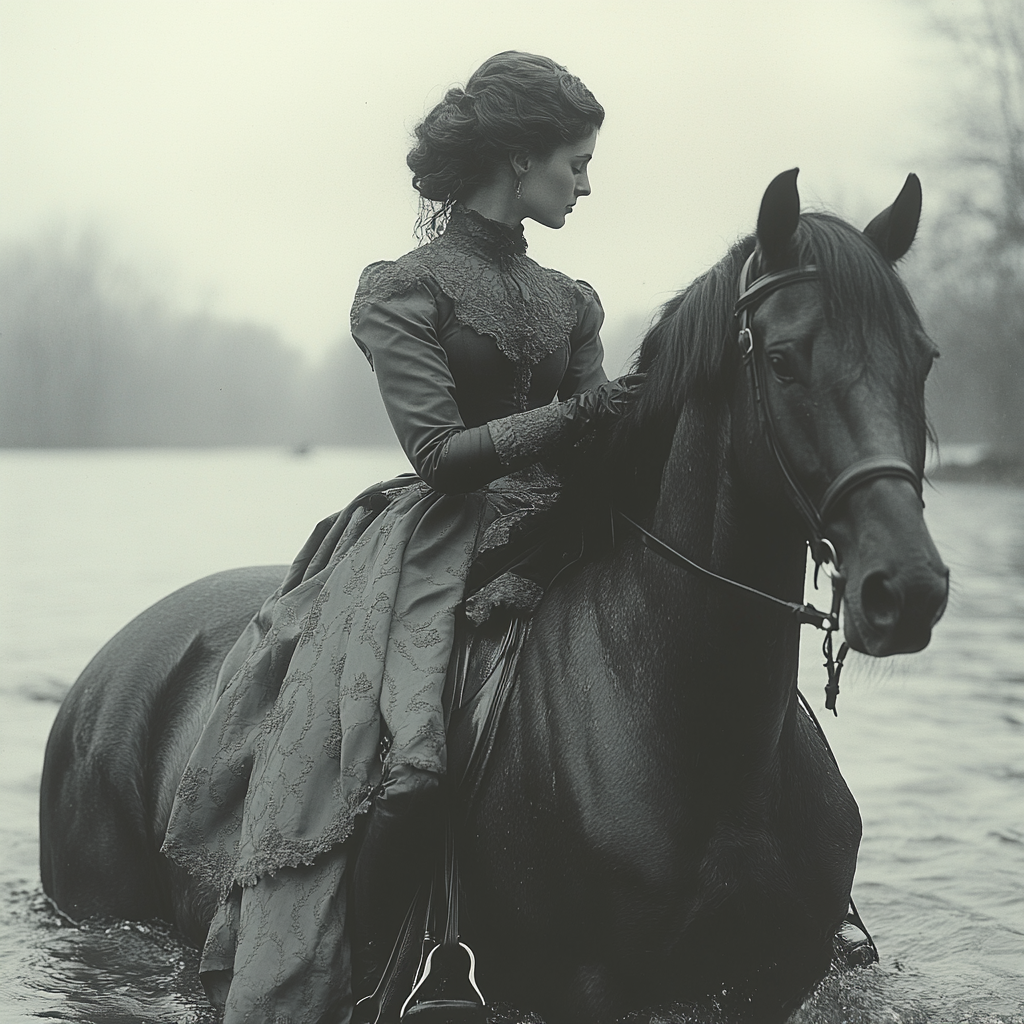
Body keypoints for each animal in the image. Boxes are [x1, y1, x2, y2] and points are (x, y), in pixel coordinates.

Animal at [41, 172, 950, 1019]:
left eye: (925, 359)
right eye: (786, 359)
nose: (908, 588)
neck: (706, 745)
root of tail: (112, 658)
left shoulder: (770, 983)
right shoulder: (588, 991)